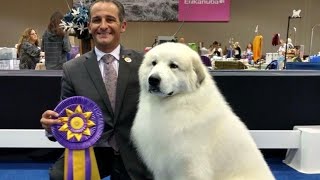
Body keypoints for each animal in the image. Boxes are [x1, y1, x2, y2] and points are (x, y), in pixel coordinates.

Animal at [131, 42, 276, 180]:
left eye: (173, 66)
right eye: (153, 63)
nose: (153, 79)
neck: (176, 103)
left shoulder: (190, 167)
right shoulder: (162, 168)